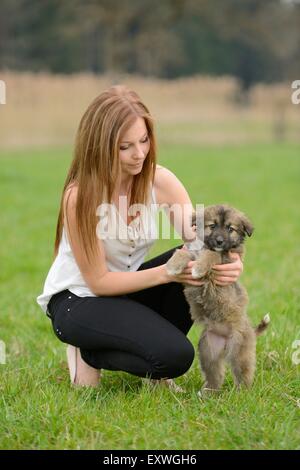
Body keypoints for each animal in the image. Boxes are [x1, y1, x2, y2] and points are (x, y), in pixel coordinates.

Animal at [166, 204, 270, 392]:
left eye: (230, 229)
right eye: (212, 226)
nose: (220, 242)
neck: (206, 247)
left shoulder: (225, 260)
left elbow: (213, 255)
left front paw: (199, 267)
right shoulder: (193, 253)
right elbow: (184, 253)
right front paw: (173, 265)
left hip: (240, 352)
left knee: (244, 375)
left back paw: (241, 394)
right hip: (209, 351)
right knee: (215, 374)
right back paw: (208, 393)